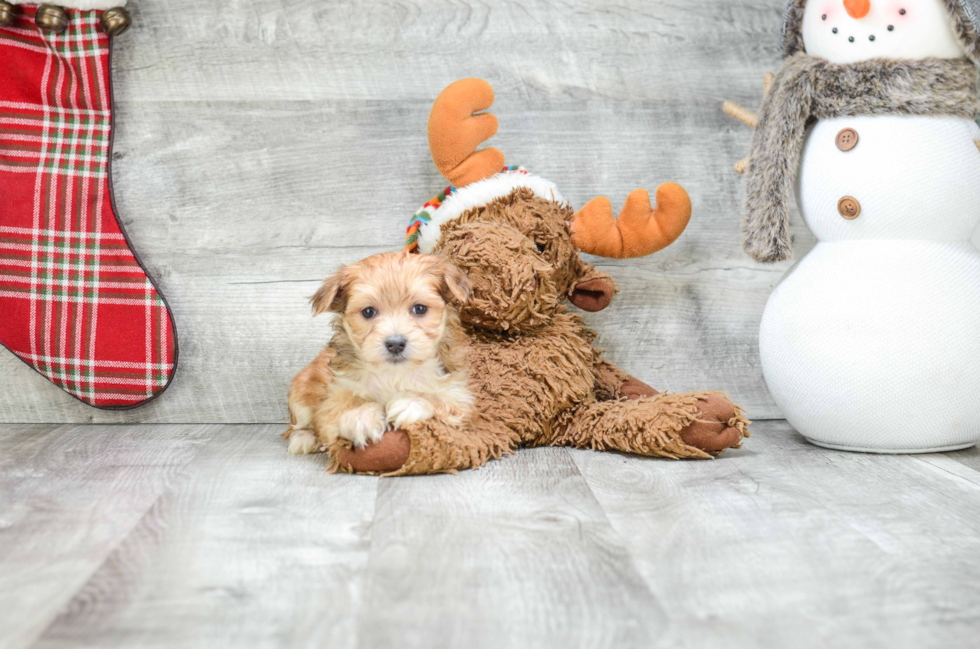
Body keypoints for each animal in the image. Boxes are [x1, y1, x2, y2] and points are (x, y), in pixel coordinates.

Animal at [284, 251, 470, 454]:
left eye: (420, 309)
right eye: (368, 312)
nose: (395, 344)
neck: (395, 373)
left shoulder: (458, 393)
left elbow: (441, 399)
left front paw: (411, 402)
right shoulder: (335, 396)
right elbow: (341, 407)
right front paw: (360, 416)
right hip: (300, 390)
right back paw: (304, 438)